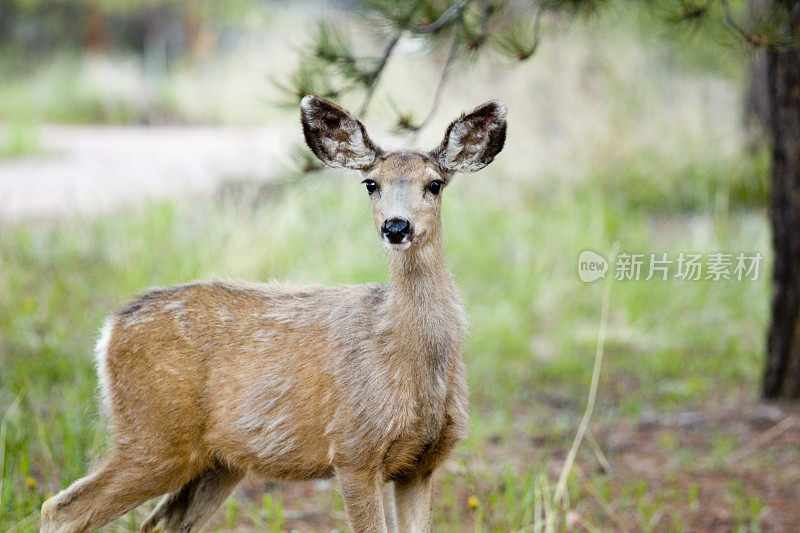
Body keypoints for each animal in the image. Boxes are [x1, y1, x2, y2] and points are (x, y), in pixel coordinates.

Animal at [40, 95, 506, 532]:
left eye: (435, 184)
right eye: (371, 183)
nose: (396, 226)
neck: (411, 359)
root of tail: (110, 330)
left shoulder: (423, 464)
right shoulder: (353, 450)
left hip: (216, 460)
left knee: (160, 522)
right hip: (152, 436)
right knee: (61, 509)